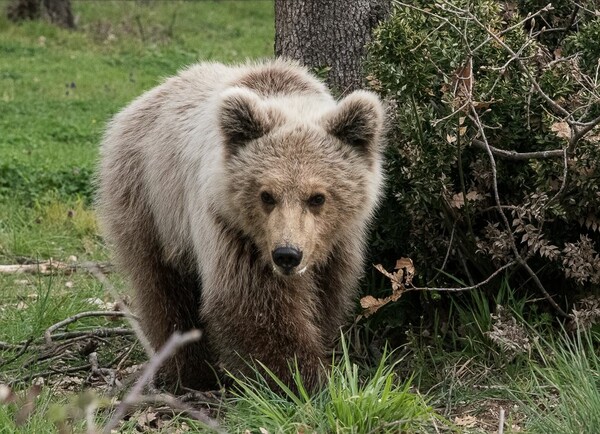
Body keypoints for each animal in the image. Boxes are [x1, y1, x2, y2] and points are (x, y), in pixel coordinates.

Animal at [94, 59, 384, 392]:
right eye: (267, 195)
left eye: (317, 197)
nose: (287, 254)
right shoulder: (231, 230)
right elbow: (250, 303)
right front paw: (298, 378)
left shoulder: (338, 243)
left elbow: (330, 294)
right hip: (149, 202)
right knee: (163, 287)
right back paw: (192, 372)